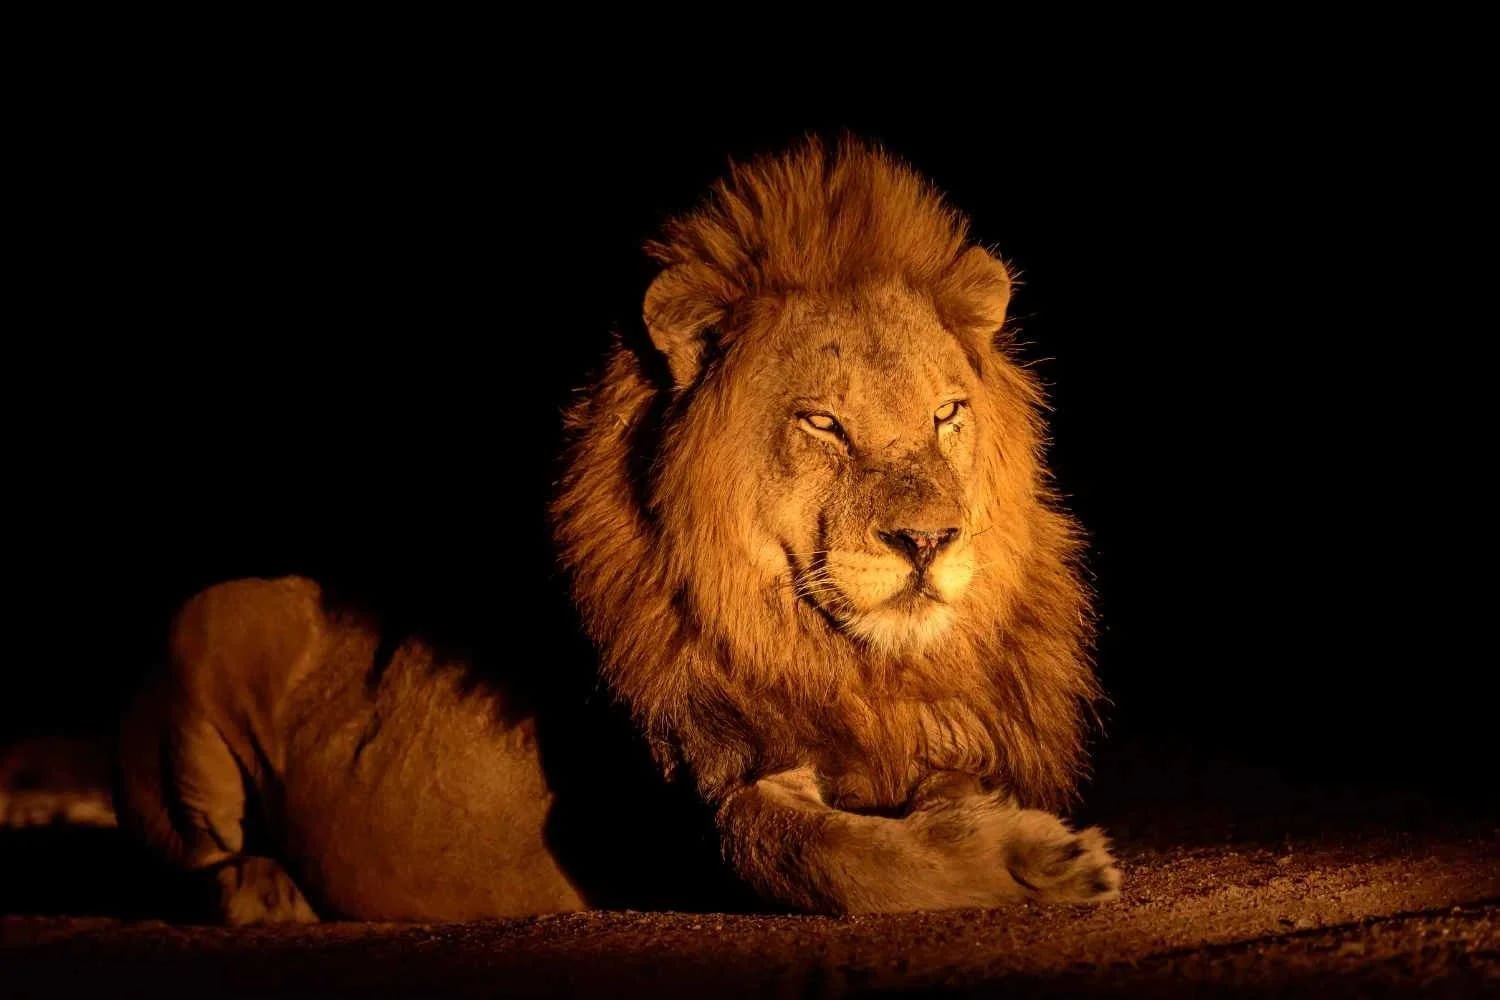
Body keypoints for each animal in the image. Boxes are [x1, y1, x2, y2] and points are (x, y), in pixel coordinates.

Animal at [115, 137, 1119, 924]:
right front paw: (1045, 861)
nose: (928, 542)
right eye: (823, 423)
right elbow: (833, 862)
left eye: (947, 414)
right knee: (190, 860)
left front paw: (982, 812)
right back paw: (265, 890)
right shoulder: (672, 819)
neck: (834, 655)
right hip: (218, 620)